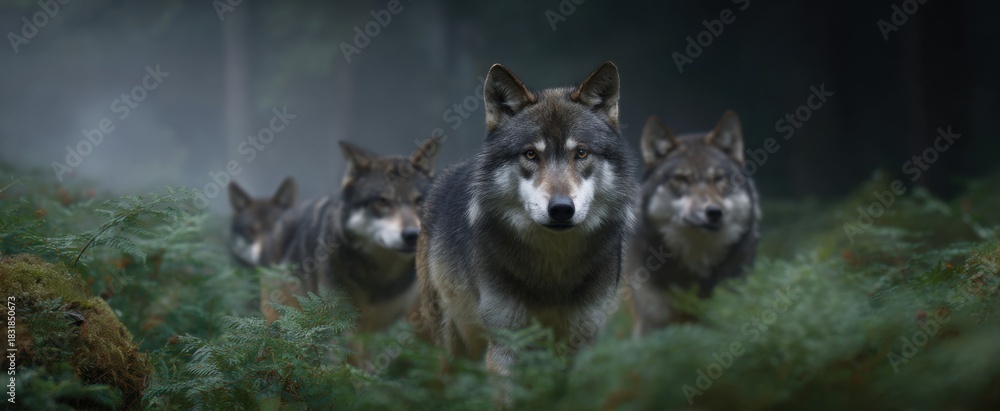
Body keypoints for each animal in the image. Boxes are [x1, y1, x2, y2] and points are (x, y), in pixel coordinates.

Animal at [416, 61, 638, 377]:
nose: (561, 208)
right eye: (531, 154)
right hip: (450, 345)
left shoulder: (582, 342)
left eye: (581, 153)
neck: (554, 268)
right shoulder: (506, 344)